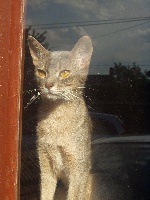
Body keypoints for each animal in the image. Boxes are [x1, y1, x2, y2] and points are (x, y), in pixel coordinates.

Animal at [27, 35, 92, 199]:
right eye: (41, 73)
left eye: (64, 73)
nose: (48, 85)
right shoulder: (45, 166)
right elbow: (45, 194)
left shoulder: (78, 171)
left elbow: (74, 195)